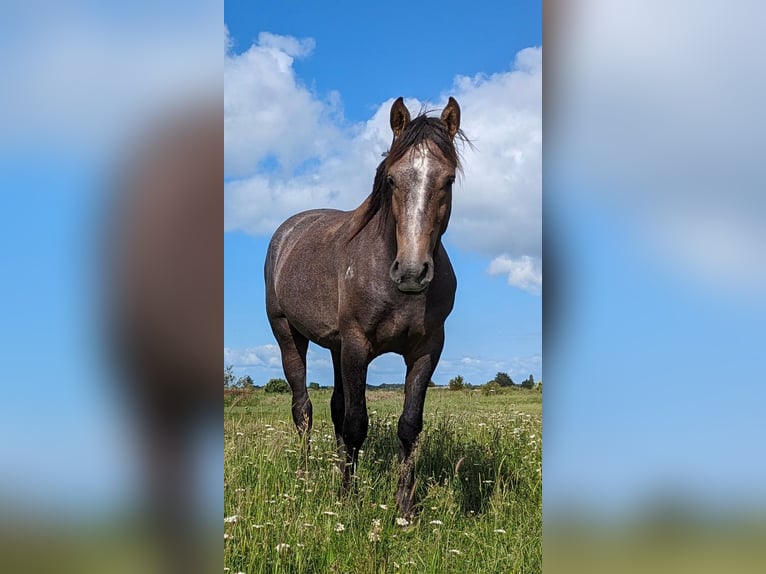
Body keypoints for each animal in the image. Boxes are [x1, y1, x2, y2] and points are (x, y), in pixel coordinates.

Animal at [268, 97, 464, 516]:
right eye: (391, 179)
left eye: (449, 180)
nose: (411, 272)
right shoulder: (358, 345)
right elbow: (357, 423)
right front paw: (347, 498)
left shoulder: (427, 350)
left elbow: (408, 425)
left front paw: (405, 506)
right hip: (289, 336)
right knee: (303, 411)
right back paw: (305, 477)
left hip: (337, 347)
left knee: (335, 408)